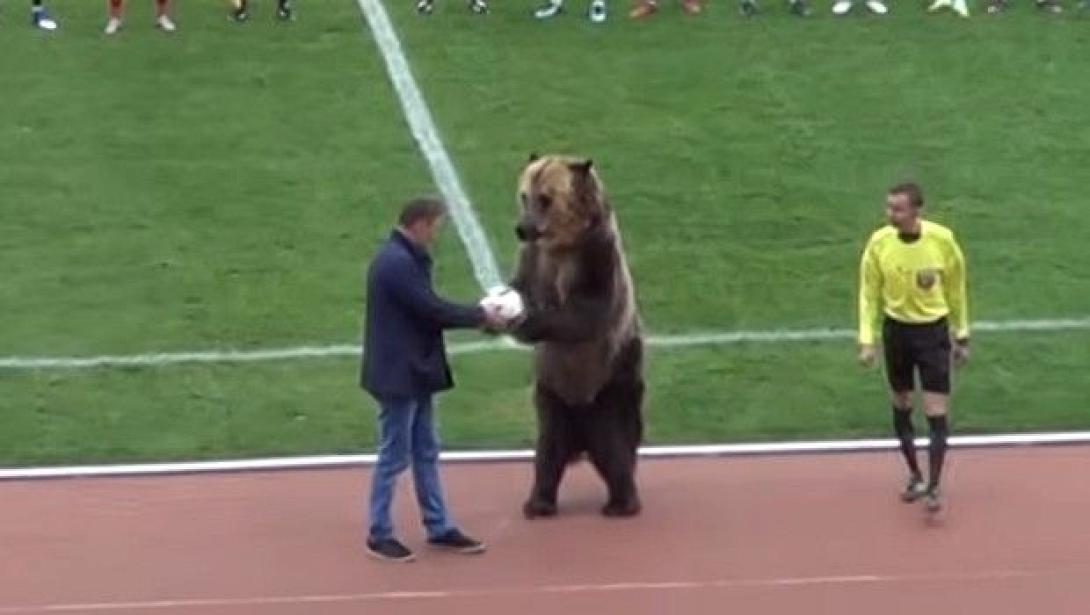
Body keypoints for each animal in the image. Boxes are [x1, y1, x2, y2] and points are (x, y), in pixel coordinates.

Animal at [506, 153, 646, 519]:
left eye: (546, 198)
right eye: (524, 195)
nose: (522, 228)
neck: (562, 243)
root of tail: (580, 440)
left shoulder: (596, 257)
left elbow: (585, 313)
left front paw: (529, 321)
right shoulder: (534, 260)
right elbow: (520, 284)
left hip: (609, 389)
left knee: (614, 450)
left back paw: (622, 504)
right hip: (552, 397)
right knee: (547, 453)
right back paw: (538, 503)